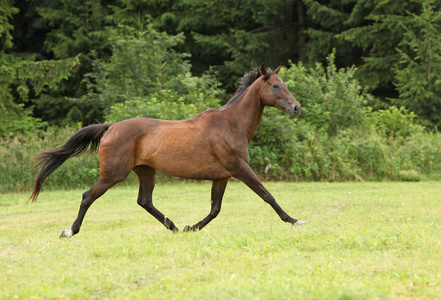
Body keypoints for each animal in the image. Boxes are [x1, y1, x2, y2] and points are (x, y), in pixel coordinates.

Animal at [30, 64, 302, 238]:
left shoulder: (222, 176)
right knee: (88, 196)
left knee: (144, 201)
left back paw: (174, 227)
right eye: (275, 86)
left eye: (284, 84)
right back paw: (69, 231)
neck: (230, 124)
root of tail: (111, 127)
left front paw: (191, 227)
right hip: (112, 174)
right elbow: (267, 195)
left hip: (145, 171)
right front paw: (294, 220)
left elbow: (215, 209)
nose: (297, 108)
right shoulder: (240, 168)